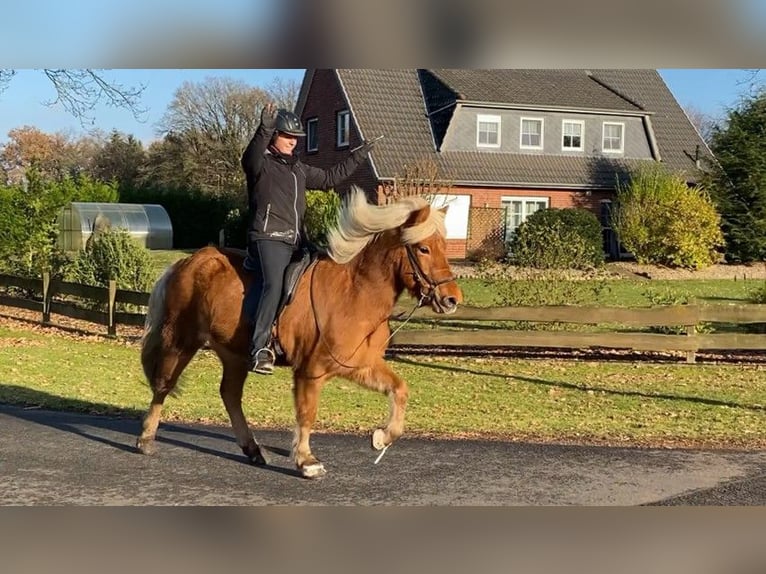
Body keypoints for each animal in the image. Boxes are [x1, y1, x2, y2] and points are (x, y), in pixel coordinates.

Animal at [136, 186, 463, 478]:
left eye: (443, 247)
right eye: (423, 248)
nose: (452, 299)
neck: (355, 295)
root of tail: (188, 261)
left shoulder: (360, 365)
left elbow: (400, 389)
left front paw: (382, 437)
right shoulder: (310, 371)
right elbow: (307, 414)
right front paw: (307, 461)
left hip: (234, 354)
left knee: (229, 394)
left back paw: (252, 449)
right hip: (181, 339)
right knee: (164, 383)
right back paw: (146, 439)